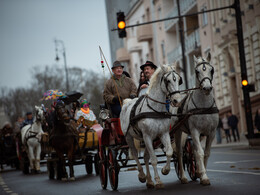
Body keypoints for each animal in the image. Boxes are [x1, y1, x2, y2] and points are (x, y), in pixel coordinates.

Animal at [173, 52, 219, 185]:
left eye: (211, 69)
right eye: (196, 71)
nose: (207, 88)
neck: (203, 106)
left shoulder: (211, 132)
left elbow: (206, 153)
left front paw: (200, 173)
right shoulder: (194, 131)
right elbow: (199, 152)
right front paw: (203, 176)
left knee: (190, 151)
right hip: (177, 131)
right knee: (179, 153)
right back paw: (183, 177)